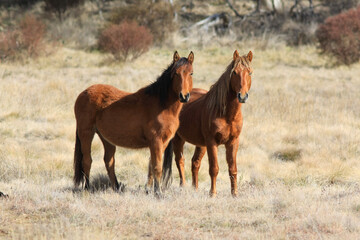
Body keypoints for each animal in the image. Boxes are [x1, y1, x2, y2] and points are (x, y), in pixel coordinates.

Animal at [73, 51, 194, 196]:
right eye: (176, 73)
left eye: (191, 73)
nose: (184, 96)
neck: (162, 105)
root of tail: (83, 93)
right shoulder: (156, 141)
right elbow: (157, 166)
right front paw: (158, 192)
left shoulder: (162, 143)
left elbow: (151, 165)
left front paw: (149, 189)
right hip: (86, 133)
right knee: (87, 161)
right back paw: (87, 188)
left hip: (106, 138)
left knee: (109, 161)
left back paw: (116, 187)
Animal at [162, 50, 252, 197]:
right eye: (234, 72)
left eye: (250, 73)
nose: (242, 96)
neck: (226, 114)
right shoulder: (211, 142)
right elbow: (214, 168)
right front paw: (213, 194)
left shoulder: (233, 142)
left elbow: (233, 169)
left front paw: (235, 194)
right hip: (178, 139)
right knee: (180, 161)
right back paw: (183, 187)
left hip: (201, 144)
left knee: (195, 163)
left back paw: (195, 189)